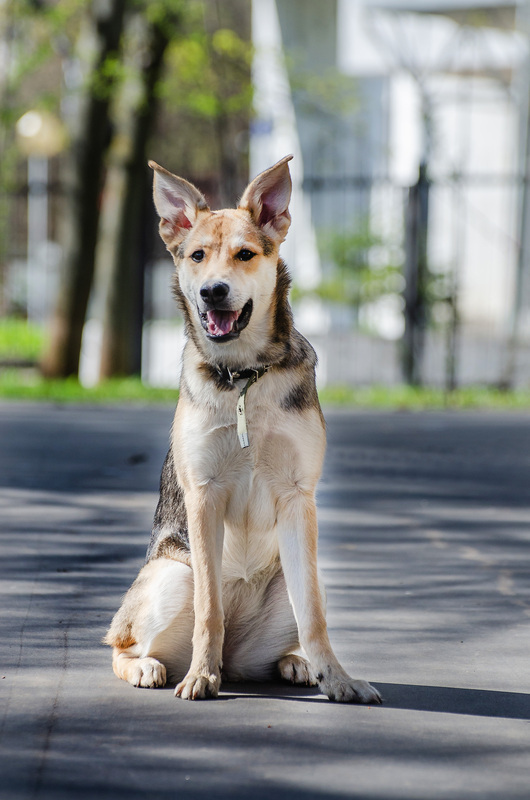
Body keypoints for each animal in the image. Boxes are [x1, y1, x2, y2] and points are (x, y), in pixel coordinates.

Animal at [104, 153, 380, 704]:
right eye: (197, 256)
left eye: (246, 254)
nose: (214, 291)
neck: (243, 378)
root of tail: (234, 660)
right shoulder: (203, 495)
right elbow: (209, 610)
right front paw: (198, 677)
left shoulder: (297, 496)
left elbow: (314, 618)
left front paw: (337, 679)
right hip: (172, 574)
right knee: (121, 643)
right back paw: (154, 666)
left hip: (294, 578)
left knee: (297, 620)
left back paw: (295, 664)